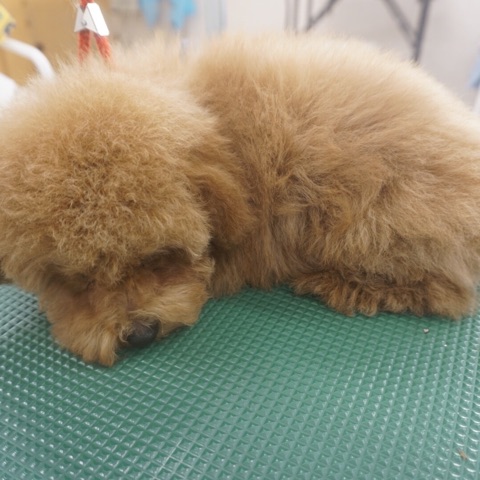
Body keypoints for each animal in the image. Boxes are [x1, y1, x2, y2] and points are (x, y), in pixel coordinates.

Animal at [1, 33, 480, 365]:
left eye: (160, 257)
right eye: (77, 279)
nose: (139, 333)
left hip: (377, 220)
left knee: (448, 293)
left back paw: (346, 285)